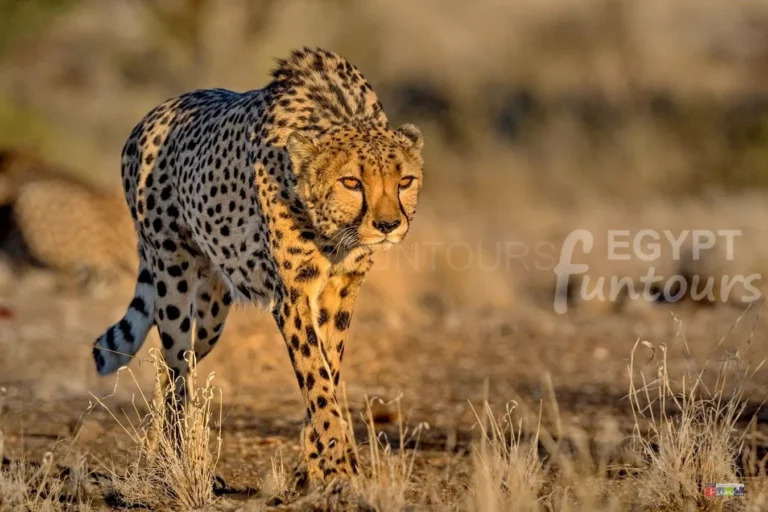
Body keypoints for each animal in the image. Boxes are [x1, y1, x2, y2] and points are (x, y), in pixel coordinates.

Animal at [91, 47, 424, 488]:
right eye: (352, 182)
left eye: (405, 181)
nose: (388, 225)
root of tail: (150, 117)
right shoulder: (293, 293)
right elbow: (315, 374)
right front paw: (337, 464)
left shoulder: (341, 288)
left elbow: (329, 370)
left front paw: (318, 461)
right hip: (172, 276)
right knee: (177, 369)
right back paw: (178, 458)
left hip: (212, 312)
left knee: (170, 366)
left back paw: (160, 450)